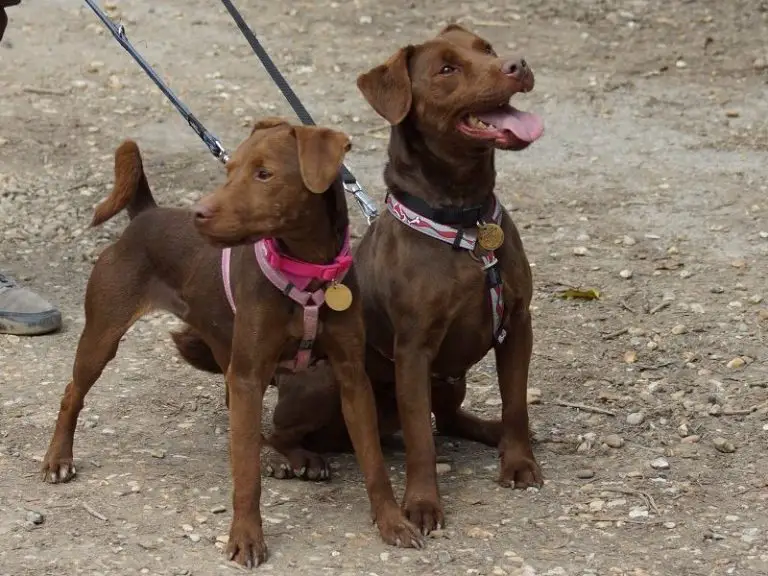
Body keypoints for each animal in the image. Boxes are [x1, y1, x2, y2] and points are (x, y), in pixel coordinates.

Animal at [42, 118, 424, 568]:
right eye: (230, 169)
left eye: (264, 174)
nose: (199, 214)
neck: (307, 273)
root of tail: (146, 215)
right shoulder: (249, 374)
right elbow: (246, 475)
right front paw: (246, 537)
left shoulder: (351, 378)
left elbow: (374, 463)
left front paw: (392, 522)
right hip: (103, 337)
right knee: (72, 393)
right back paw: (57, 460)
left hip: (227, 350)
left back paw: (284, 457)